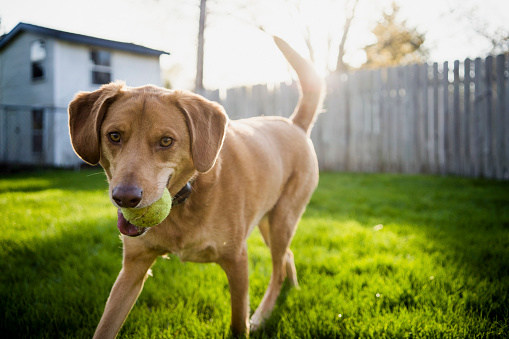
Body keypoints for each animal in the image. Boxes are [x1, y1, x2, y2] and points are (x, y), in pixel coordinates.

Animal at [67, 37, 324, 338]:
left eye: (166, 141)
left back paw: (262, 315)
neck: (185, 198)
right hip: (268, 223)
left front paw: (247, 323)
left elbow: (238, 323)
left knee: (278, 266)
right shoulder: (132, 268)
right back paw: (291, 289)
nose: (125, 198)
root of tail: (295, 125)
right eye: (114, 136)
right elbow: (106, 326)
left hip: (283, 219)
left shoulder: (237, 261)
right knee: (286, 257)